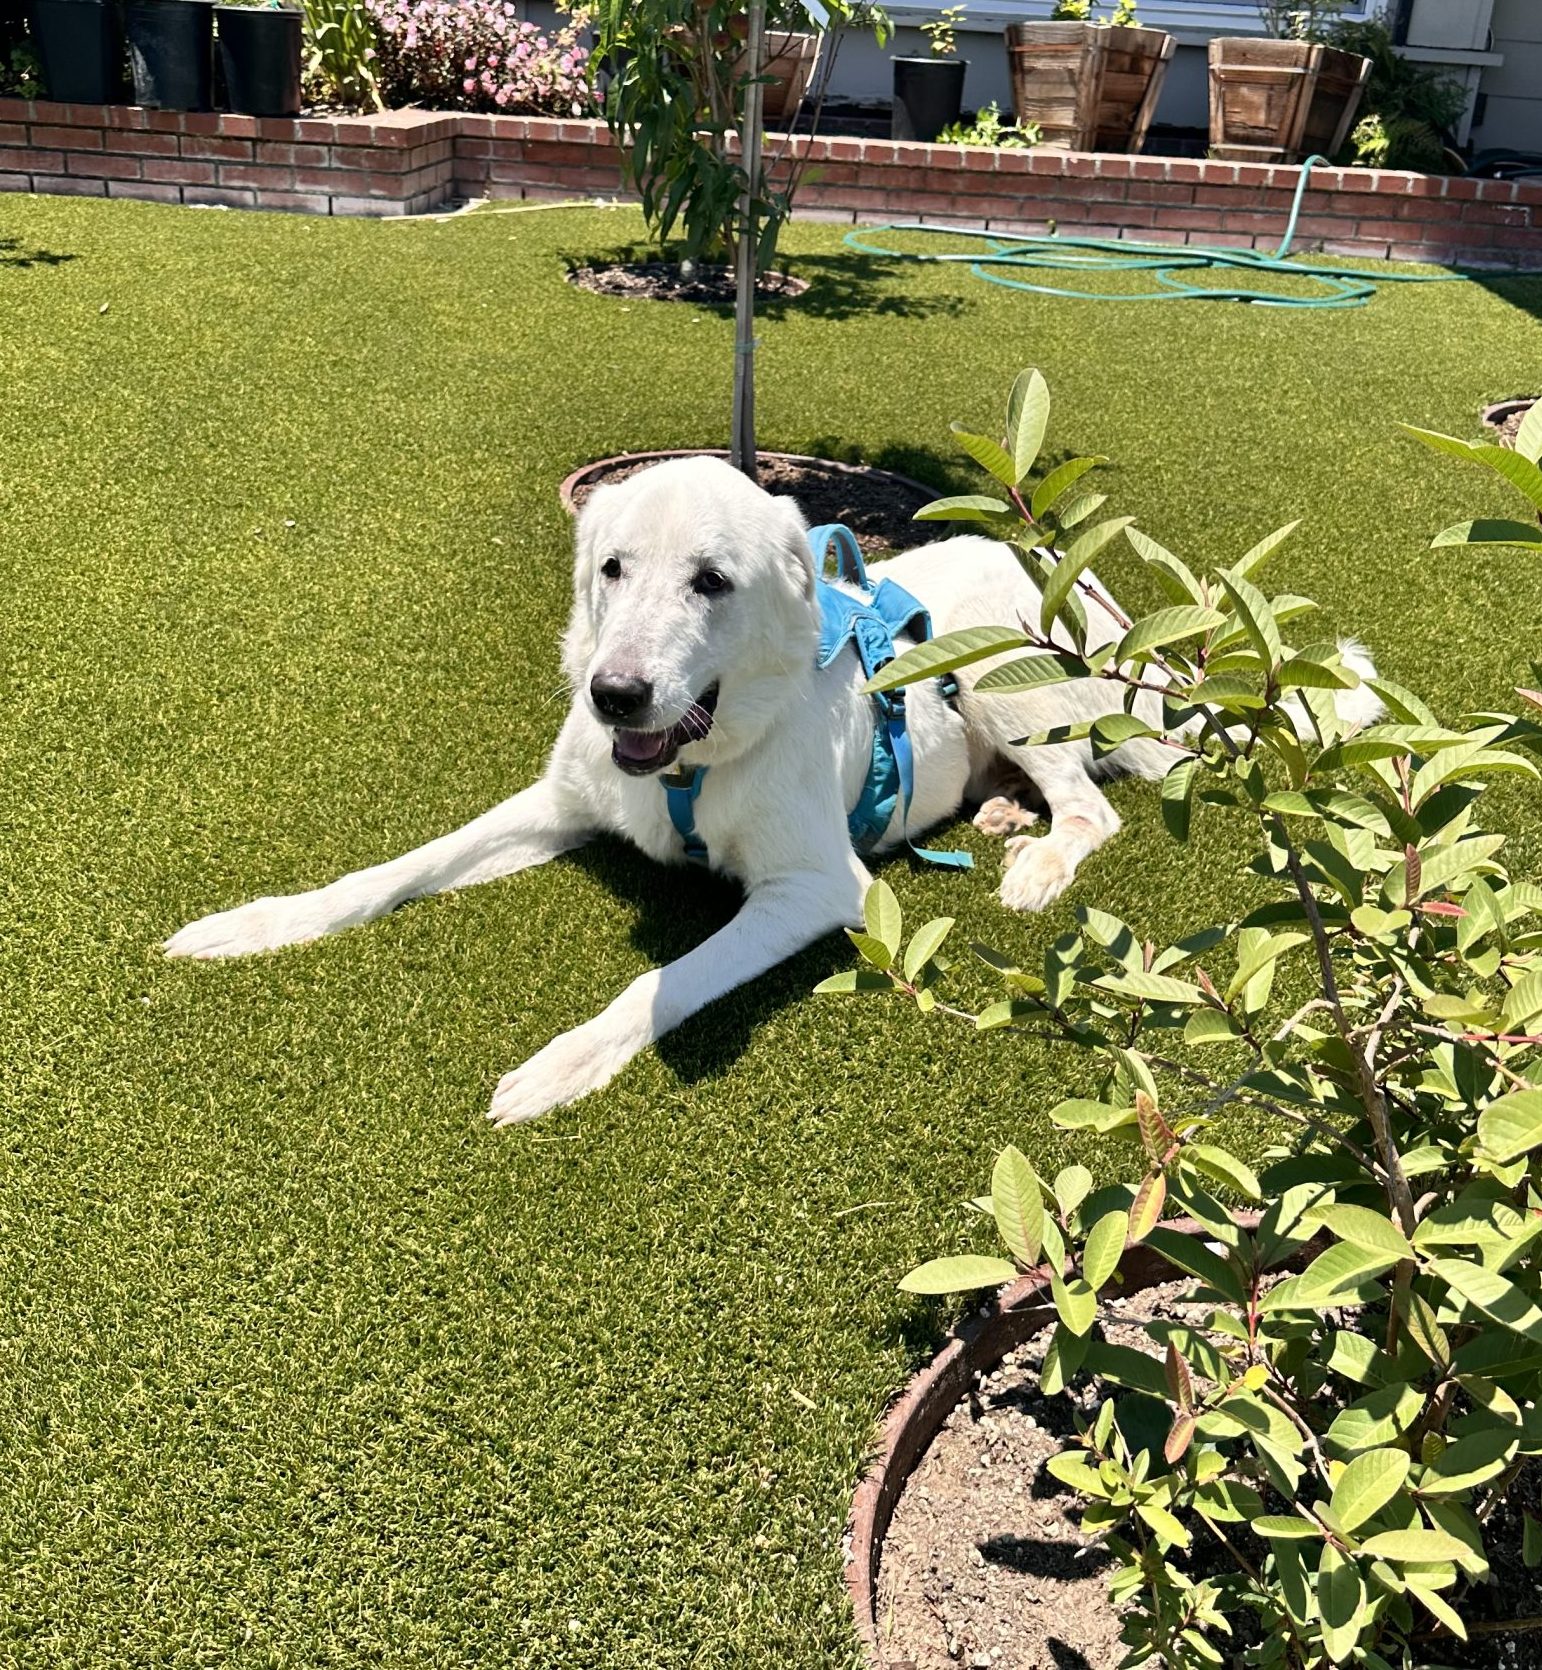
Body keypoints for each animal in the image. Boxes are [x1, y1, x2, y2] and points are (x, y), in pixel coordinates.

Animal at [166, 460, 1376, 1122]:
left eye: (713, 581)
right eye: (611, 568)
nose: (614, 694)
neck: (694, 763)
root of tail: (1056, 575)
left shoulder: (816, 887)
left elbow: (657, 987)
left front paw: (563, 1065)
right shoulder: (556, 802)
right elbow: (387, 873)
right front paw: (258, 923)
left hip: (1008, 685)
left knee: (1099, 800)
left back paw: (1035, 857)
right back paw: (992, 810)